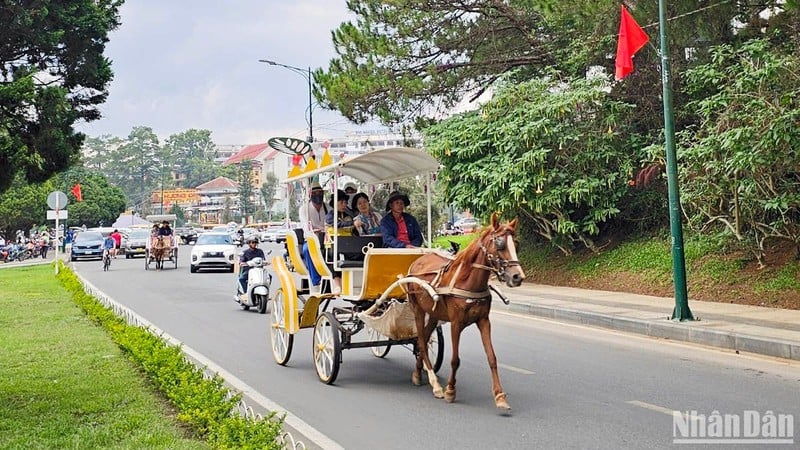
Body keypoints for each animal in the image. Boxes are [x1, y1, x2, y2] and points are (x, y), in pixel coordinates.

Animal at [406, 213, 524, 410]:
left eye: (516, 244)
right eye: (499, 244)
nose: (517, 277)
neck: (468, 280)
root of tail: (417, 262)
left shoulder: (484, 321)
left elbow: (492, 358)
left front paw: (500, 396)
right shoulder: (456, 323)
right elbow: (455, 360)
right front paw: (450, 390)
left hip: (434, 313)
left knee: (425, 338)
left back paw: (417, 372)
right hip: (417, 309)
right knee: (421, 341)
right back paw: (435, 384)